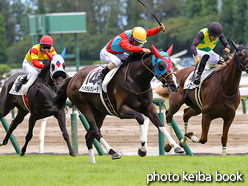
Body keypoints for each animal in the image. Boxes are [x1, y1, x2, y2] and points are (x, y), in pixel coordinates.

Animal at [55, 44, 185, 162]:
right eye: (161, 65)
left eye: (172, 64)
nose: (175, 85)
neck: (136, 81)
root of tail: (72, 78)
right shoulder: (122, 110)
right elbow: (140, 118)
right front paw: (142, 149)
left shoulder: (149, 108)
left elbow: (160, 125)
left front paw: (176, 146)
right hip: (84, 106)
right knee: (96, 131)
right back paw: (113, 152)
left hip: (100, 112)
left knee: (89, 136)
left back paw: (93, 163)